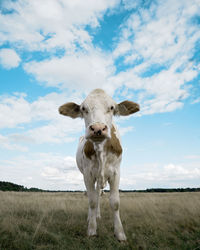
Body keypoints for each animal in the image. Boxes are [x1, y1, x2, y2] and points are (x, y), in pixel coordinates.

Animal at [58, 89, 140, 241]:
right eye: (83, 108)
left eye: (112, 107)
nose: (97, 128)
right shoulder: (88, 174)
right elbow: (92, 201)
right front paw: (91, 229)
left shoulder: (116, 173)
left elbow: (115, 202)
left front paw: (120, 233)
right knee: (94, 196)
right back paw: (91, 217)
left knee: (98, 193)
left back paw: (97, 215)